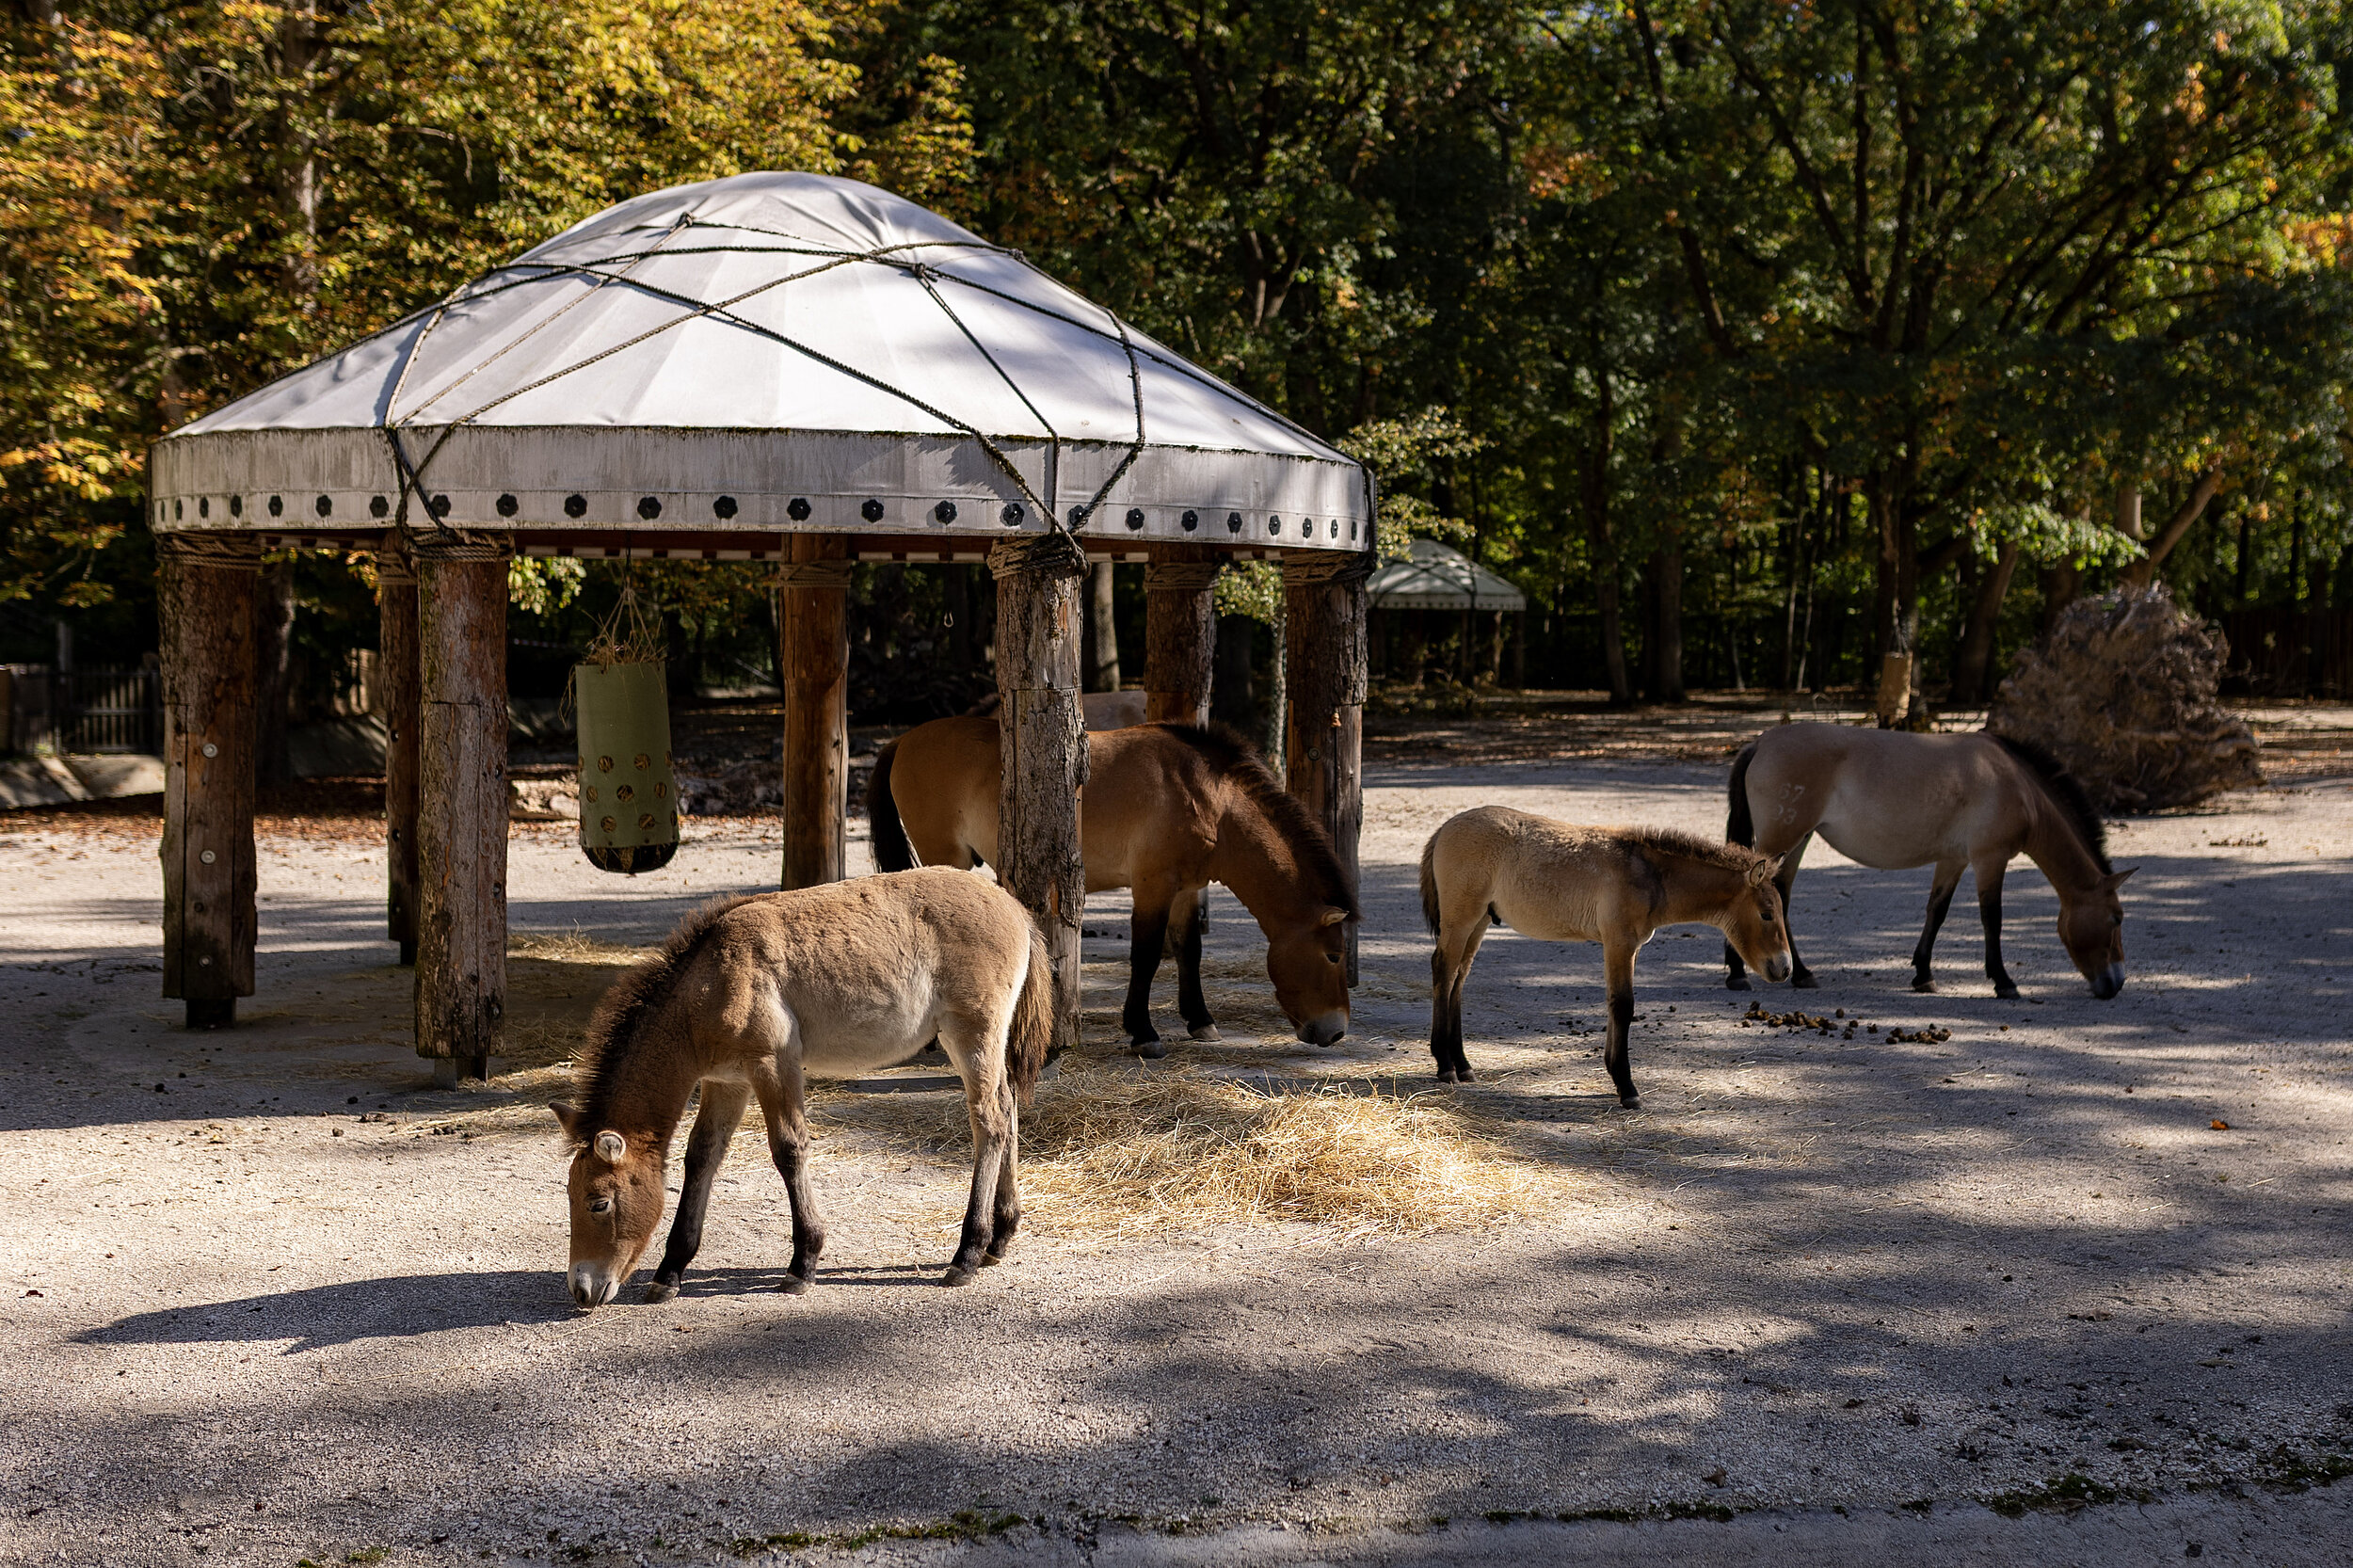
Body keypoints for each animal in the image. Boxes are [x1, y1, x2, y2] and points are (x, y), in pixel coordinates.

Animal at [549, 868, 1052, 1307]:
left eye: (599, 1203)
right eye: (570, 1196)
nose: (582, 1289)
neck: (711, 981)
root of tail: (1013, 906)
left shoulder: (773, 1066)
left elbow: (789, 1150)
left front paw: (802, 1263)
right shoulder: (726, 1083)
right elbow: (702, 1158)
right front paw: (669, 1272)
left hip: (971, 1035)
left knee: (989, 1122)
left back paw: (967, 1253)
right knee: (1007, 1108)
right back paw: (1001, 1236)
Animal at [869, 718, 1355, 1051]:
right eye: (1333, 955)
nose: (1335, 1032)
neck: (1208, 797)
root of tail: (903, 740)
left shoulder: (1187, 889)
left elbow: (1189, 951)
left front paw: (1200, 1020)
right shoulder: (1154, 885)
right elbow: (1147, 956)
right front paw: (1143, 1032)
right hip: (945, 858)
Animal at [1419, 807, 1792, 1104]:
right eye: (1766, 914)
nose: (1784, 968)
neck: (1649, 876)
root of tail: (1445, 827)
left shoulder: (1629, 947)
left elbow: (1615, 1004)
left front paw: (1616, 1075)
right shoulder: (1619, 942)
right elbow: (1623, 1005)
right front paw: (1627, 1088)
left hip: (1479, 921)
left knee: (1458, 978)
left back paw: (1463, 1065)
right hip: (1461, 918)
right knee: (1443, 970)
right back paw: (1445, 1066)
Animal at [1721, 724, 2132, 1000]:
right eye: (2116, 918)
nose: (2116, 982)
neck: (2016, 786)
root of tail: (1760, 743)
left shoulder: (1953, 860)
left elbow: (1937, 911)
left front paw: (1923, 974)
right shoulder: (1990, 859)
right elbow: (1992, 918)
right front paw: (2003, 981)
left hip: (1797, 841)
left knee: (1781, 897)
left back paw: (1800, 973)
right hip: (1783, 839)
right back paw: (1740, 974)